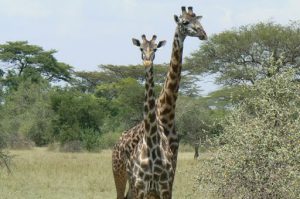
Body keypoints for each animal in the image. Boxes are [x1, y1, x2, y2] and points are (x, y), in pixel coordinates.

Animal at [127, 35, 173, 198]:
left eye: (155, 49)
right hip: (135, 187)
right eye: (141, 48)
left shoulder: (165, 187)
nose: (147, 62)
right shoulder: (141, 187)